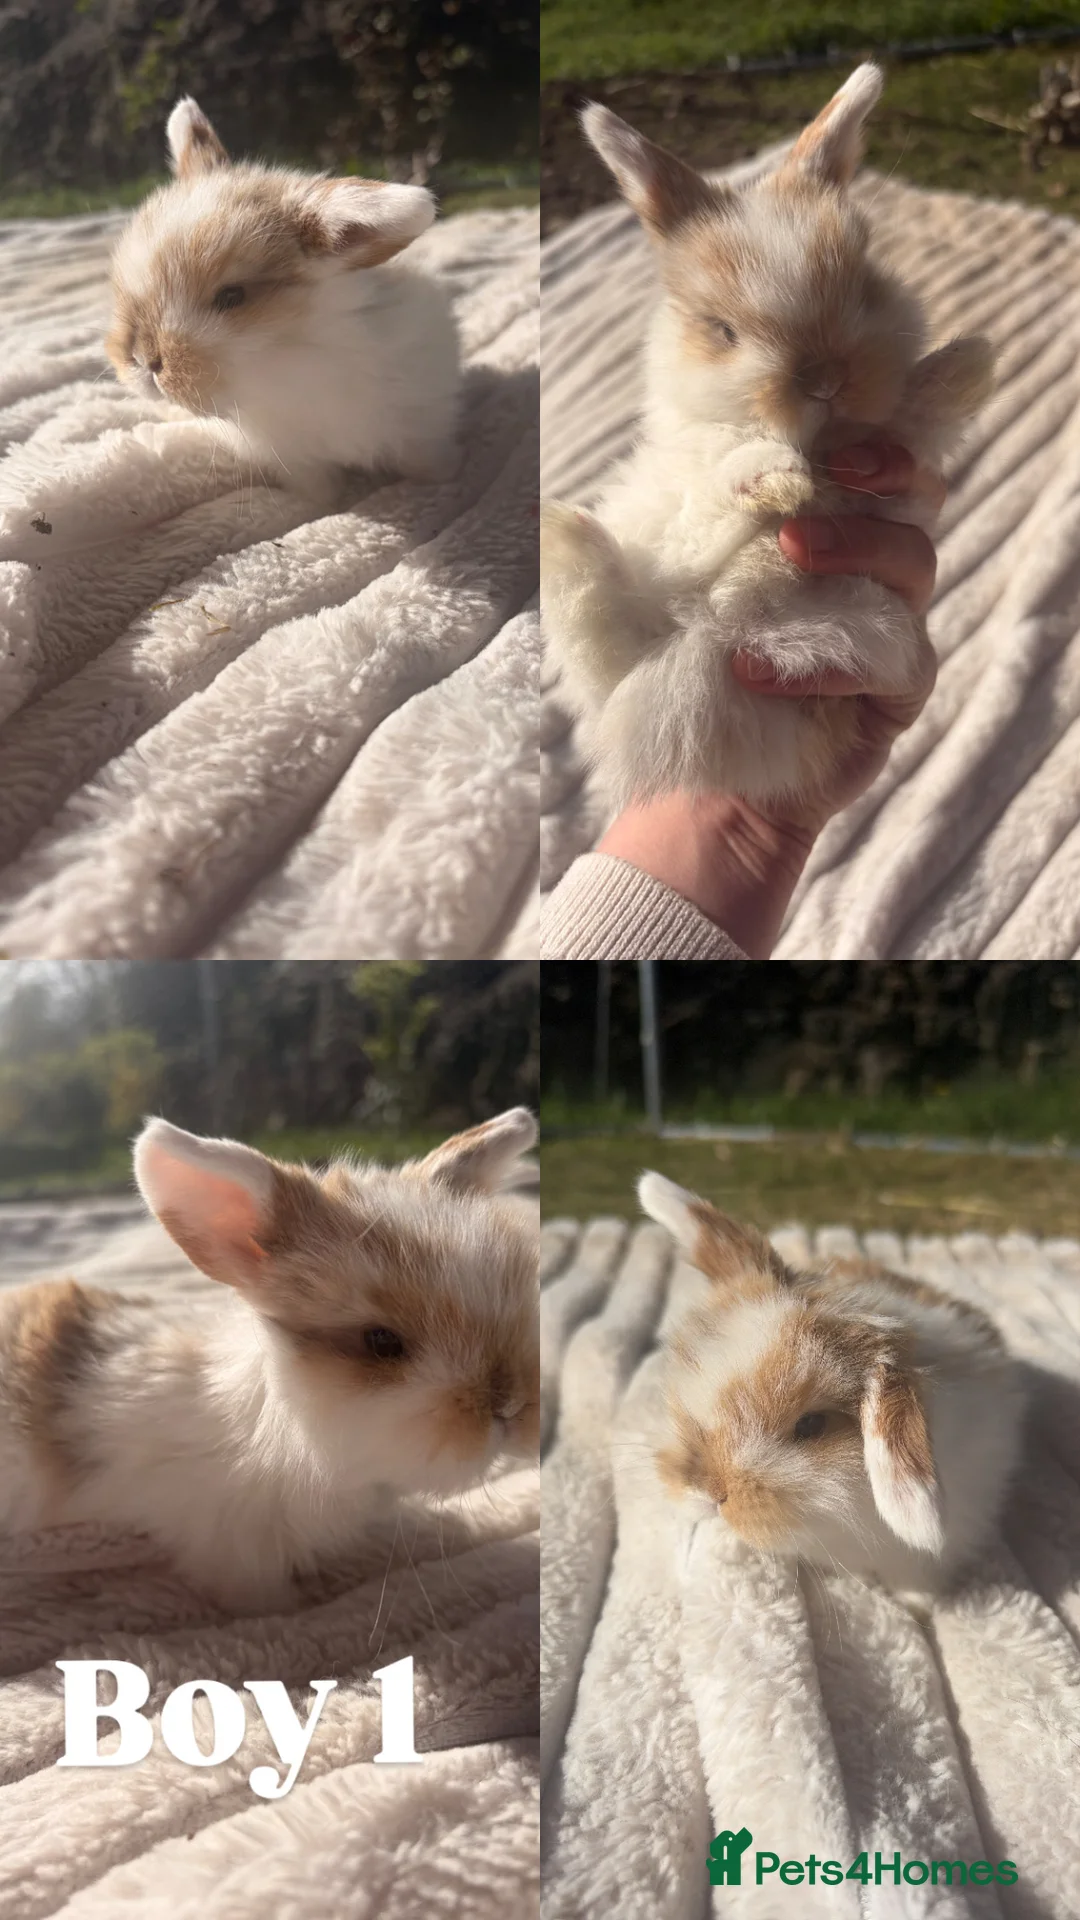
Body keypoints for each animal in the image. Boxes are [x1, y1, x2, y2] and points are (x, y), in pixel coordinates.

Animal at [105, 97, 461, 502]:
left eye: (232, 296)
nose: (142, 359)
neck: (289, 359)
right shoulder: (296, 461)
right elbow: (319, 491)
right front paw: (322, 505)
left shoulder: (420, 422)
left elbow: (424, 462)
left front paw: (446, 479)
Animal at [541, 63, 996, 810]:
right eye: (722, 331)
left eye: (865, 285)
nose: (825, 380)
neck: (818, 450)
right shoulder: (687, 484)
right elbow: (718, 478)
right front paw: (775, 478)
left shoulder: (894, 479)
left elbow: (910, 418)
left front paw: (969, 360)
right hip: (640, 615)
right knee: (617, 619)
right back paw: (564, 530)